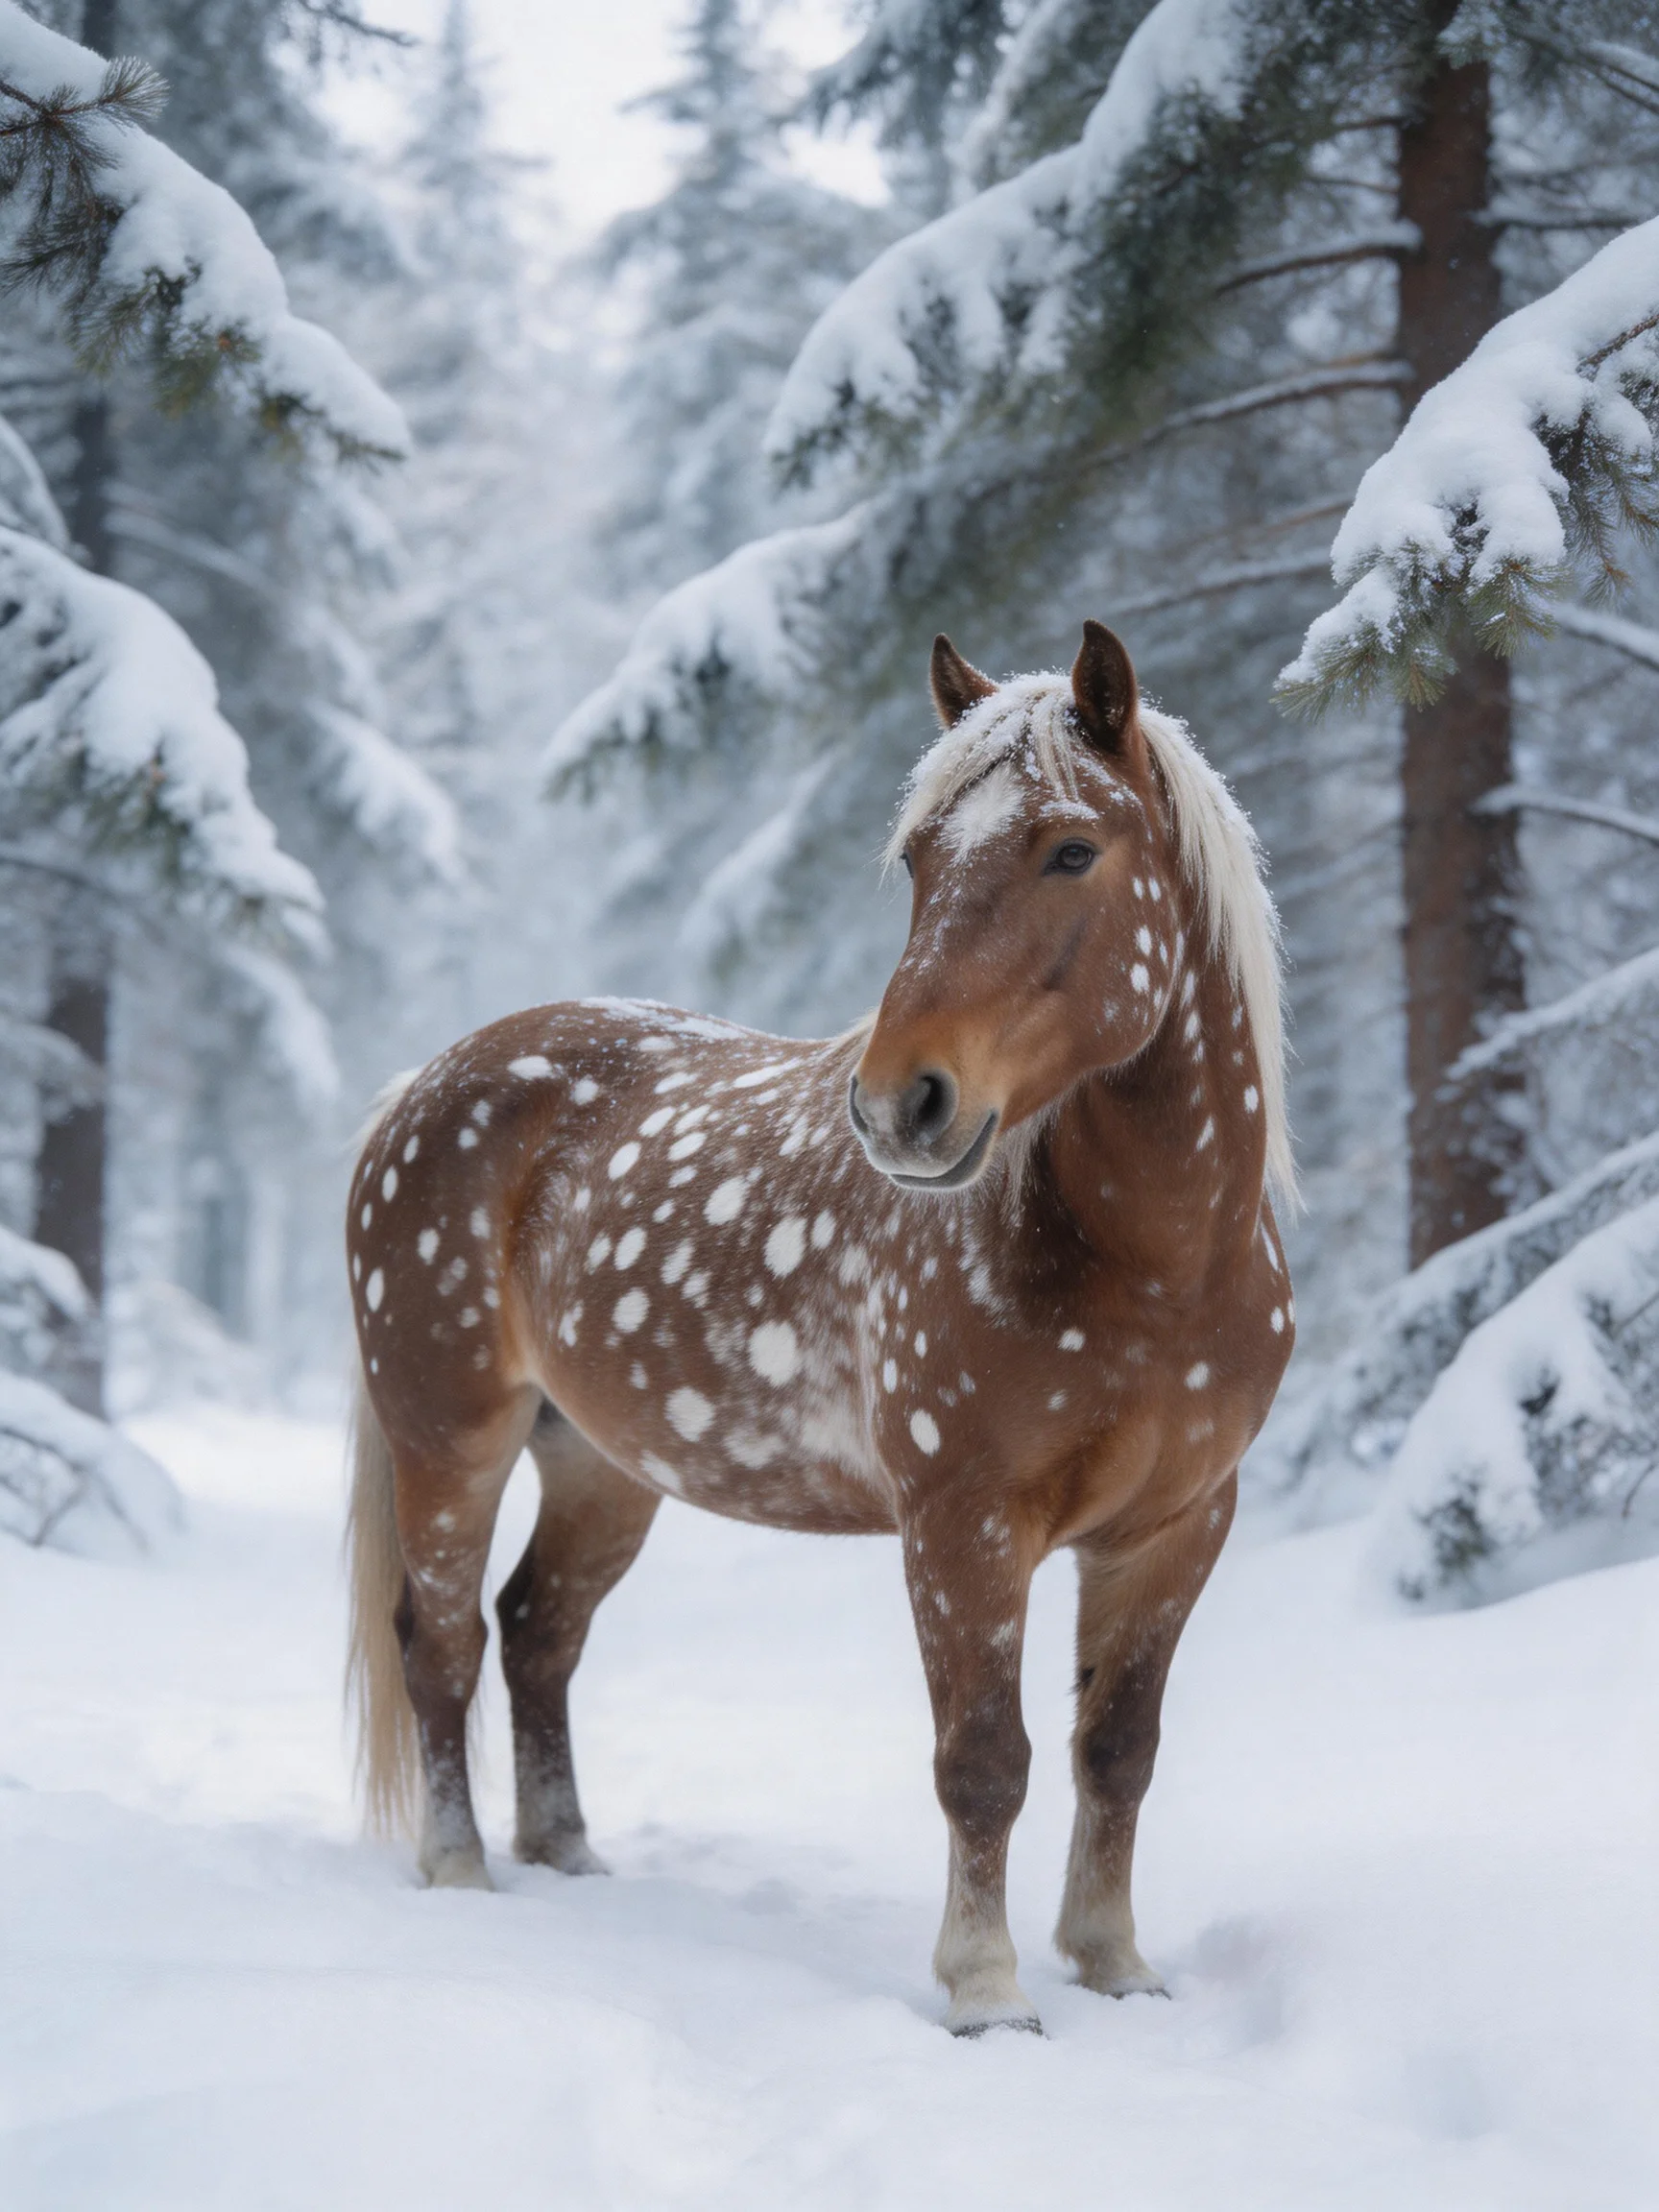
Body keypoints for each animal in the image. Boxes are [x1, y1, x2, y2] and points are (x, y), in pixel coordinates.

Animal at [345, 620, 1295, 2037]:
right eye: (918, 857)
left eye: (1073, 849)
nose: (902, 1104)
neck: (1158, 1271)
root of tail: (423, 1083)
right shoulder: (964, 1523)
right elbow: (986, 1760)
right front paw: (987, 1992)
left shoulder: (1176, 1527)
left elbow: (1116, 1750)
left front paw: (1115, 1965)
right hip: (449, 1437)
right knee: (443, 1637)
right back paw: (460, 1868)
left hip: (600, 1463)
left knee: (538, 1629)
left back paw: (567, 1852)